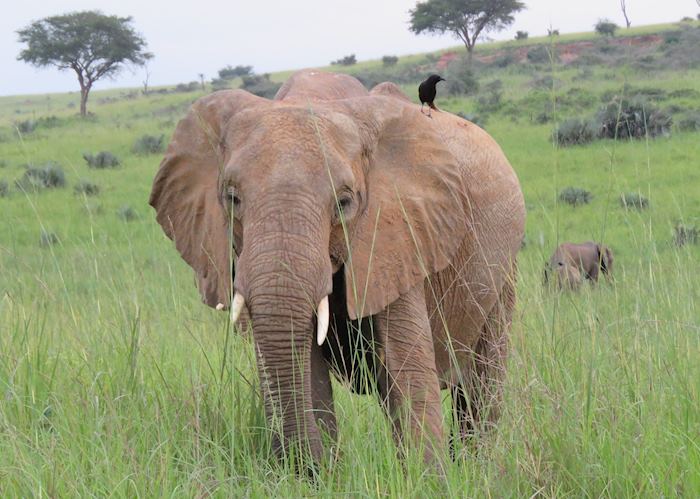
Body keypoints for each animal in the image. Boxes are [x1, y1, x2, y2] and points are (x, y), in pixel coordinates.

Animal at [149, 69, 526, 466]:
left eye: (344, 203)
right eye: (232, 198)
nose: (303, 466)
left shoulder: (401, 230)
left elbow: (406, 368)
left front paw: (427, 476)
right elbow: (309, 373)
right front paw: (323, 471)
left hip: (504, 266)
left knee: (481, 382)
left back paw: (474, 465)